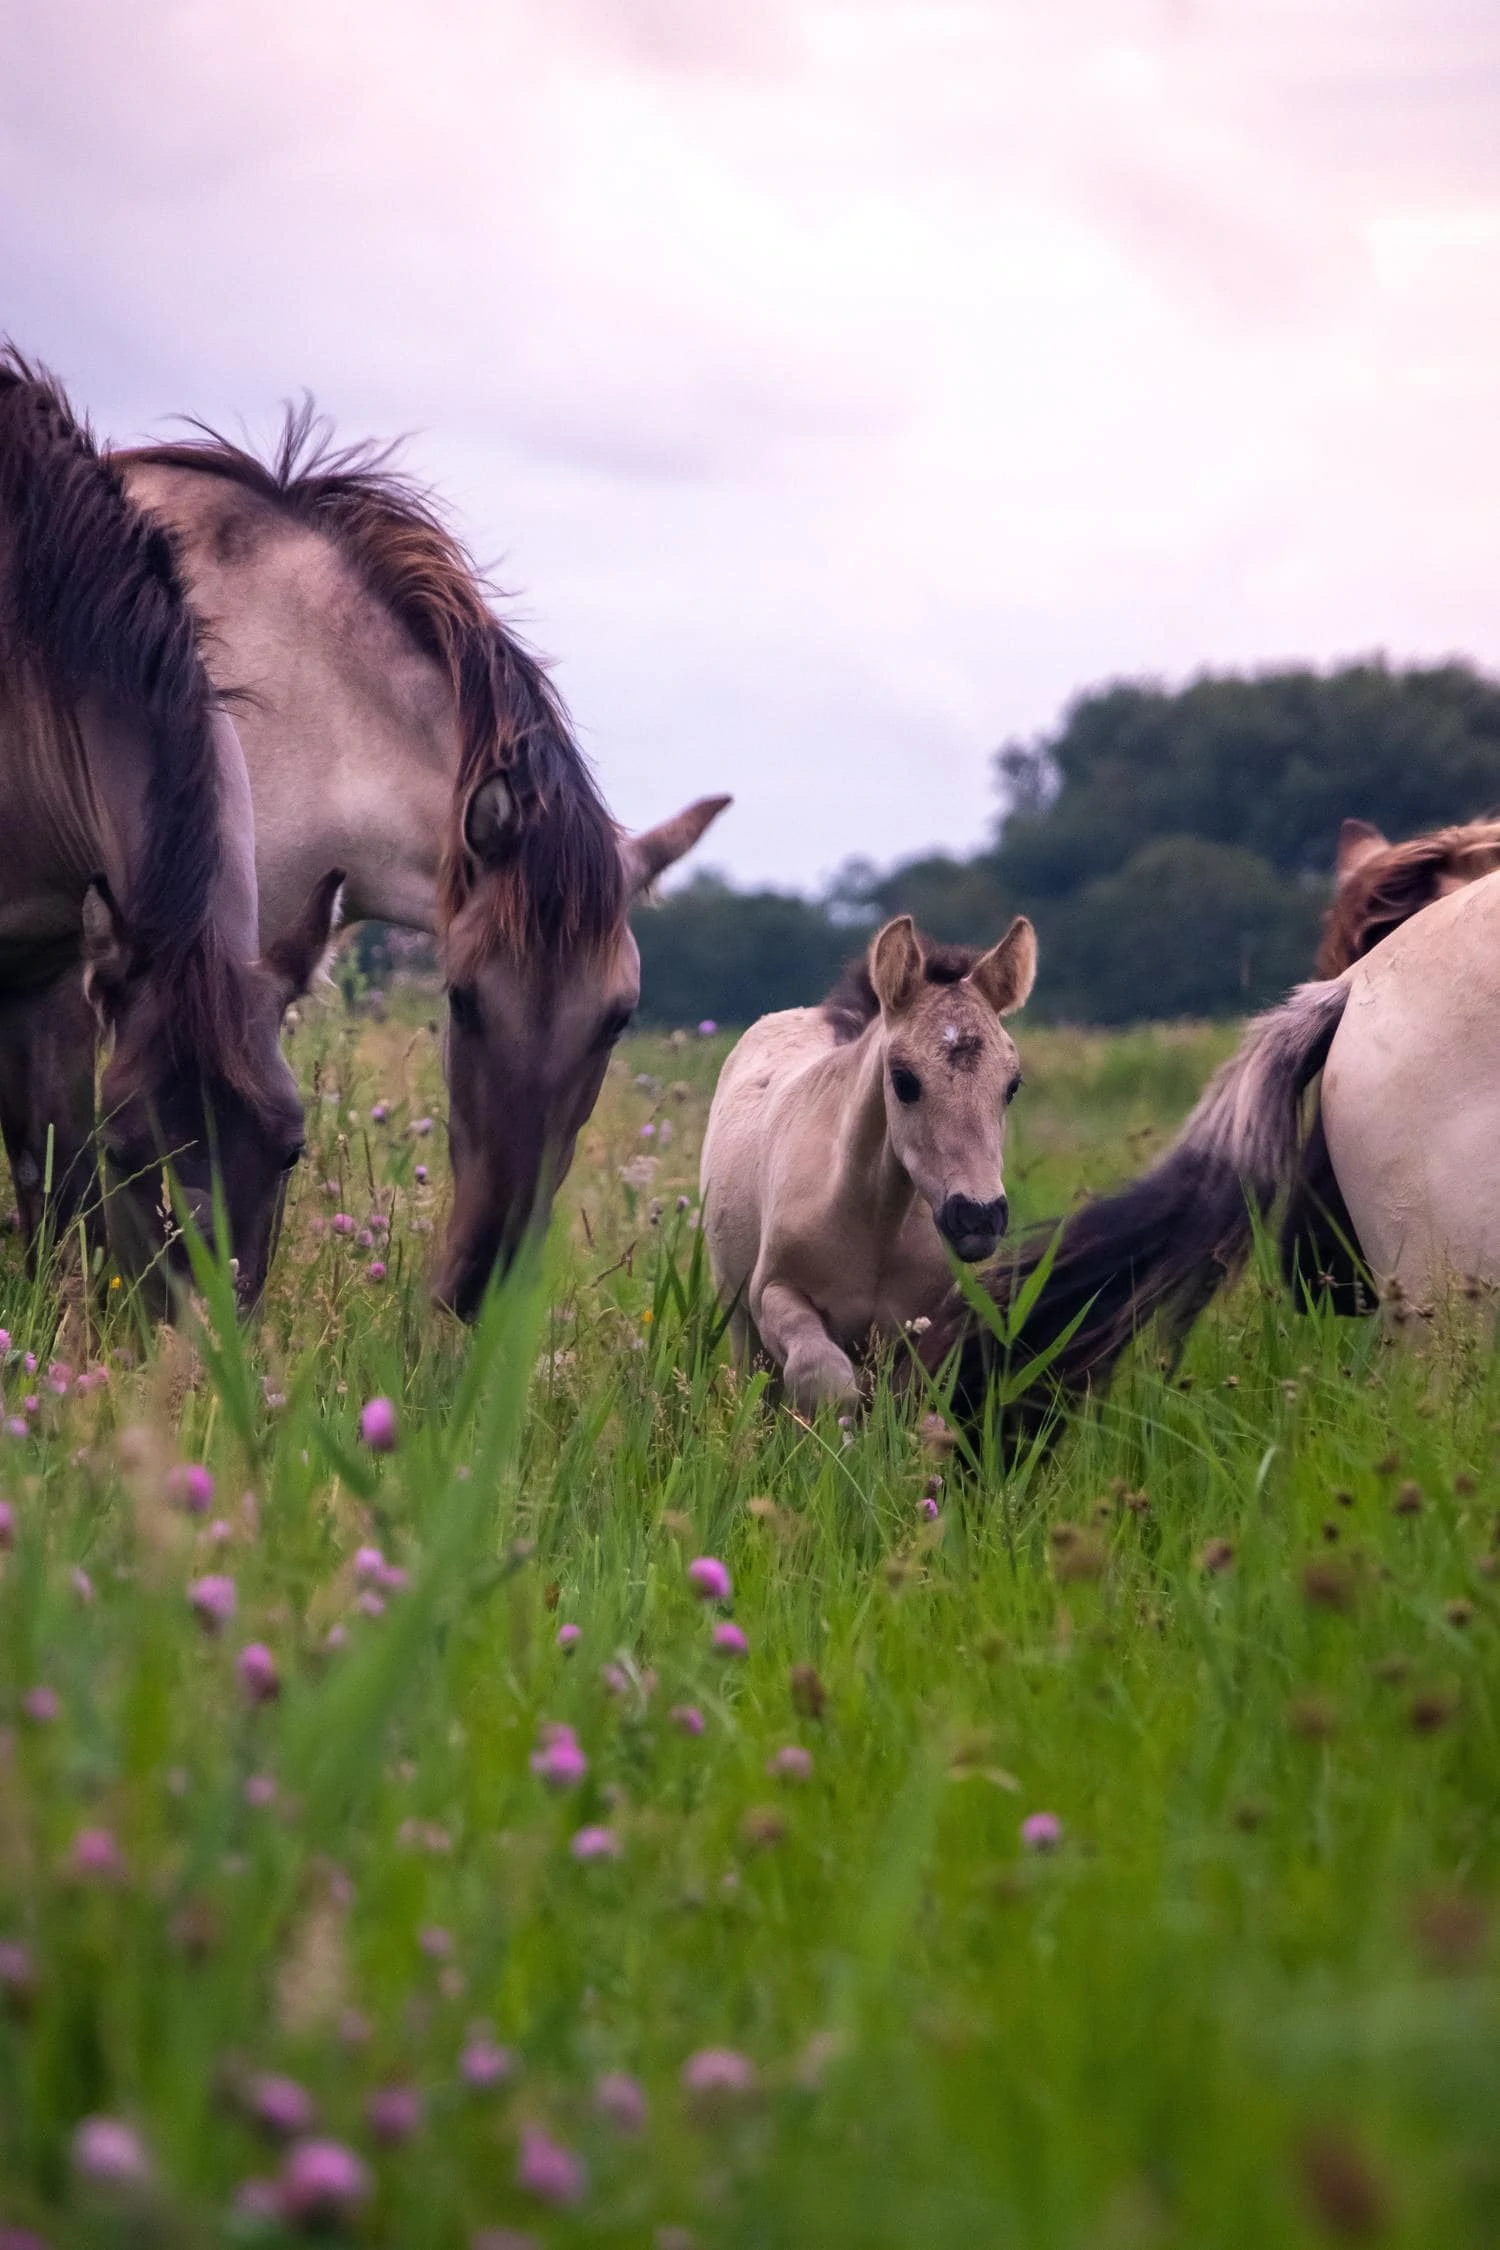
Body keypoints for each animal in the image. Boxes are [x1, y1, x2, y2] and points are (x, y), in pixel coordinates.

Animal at [701, 909, 1034, 1404]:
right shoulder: (773, 1293)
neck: (871, 1220)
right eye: (904, 1080)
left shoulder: (915, 1327)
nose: (977, 1217)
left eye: (1011, 1086)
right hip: (738, 1314)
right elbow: (825, 1378)